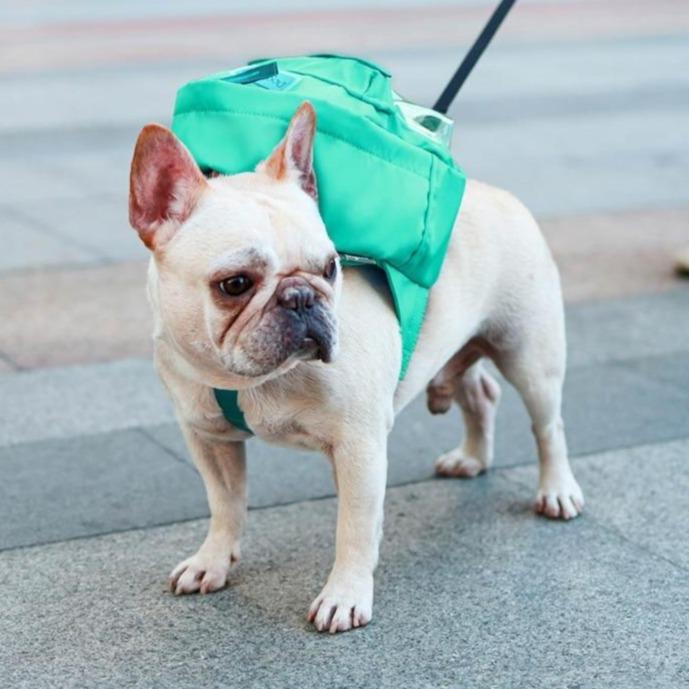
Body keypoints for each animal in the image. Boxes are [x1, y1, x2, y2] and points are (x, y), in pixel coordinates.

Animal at [127, 102, 580, 636]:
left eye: (330, 268)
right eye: (234, 284)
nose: (301, 298)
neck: (252, 382)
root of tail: (499, 194)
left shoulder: (358, 446)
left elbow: (355, 528)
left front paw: (344, 597)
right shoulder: (207, 437)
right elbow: (225, 504)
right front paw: (211, 561)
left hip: (529, 353)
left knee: (547, 425)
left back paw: (557, 490)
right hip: (458, 344)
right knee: (481, 394)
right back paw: (471, 457)